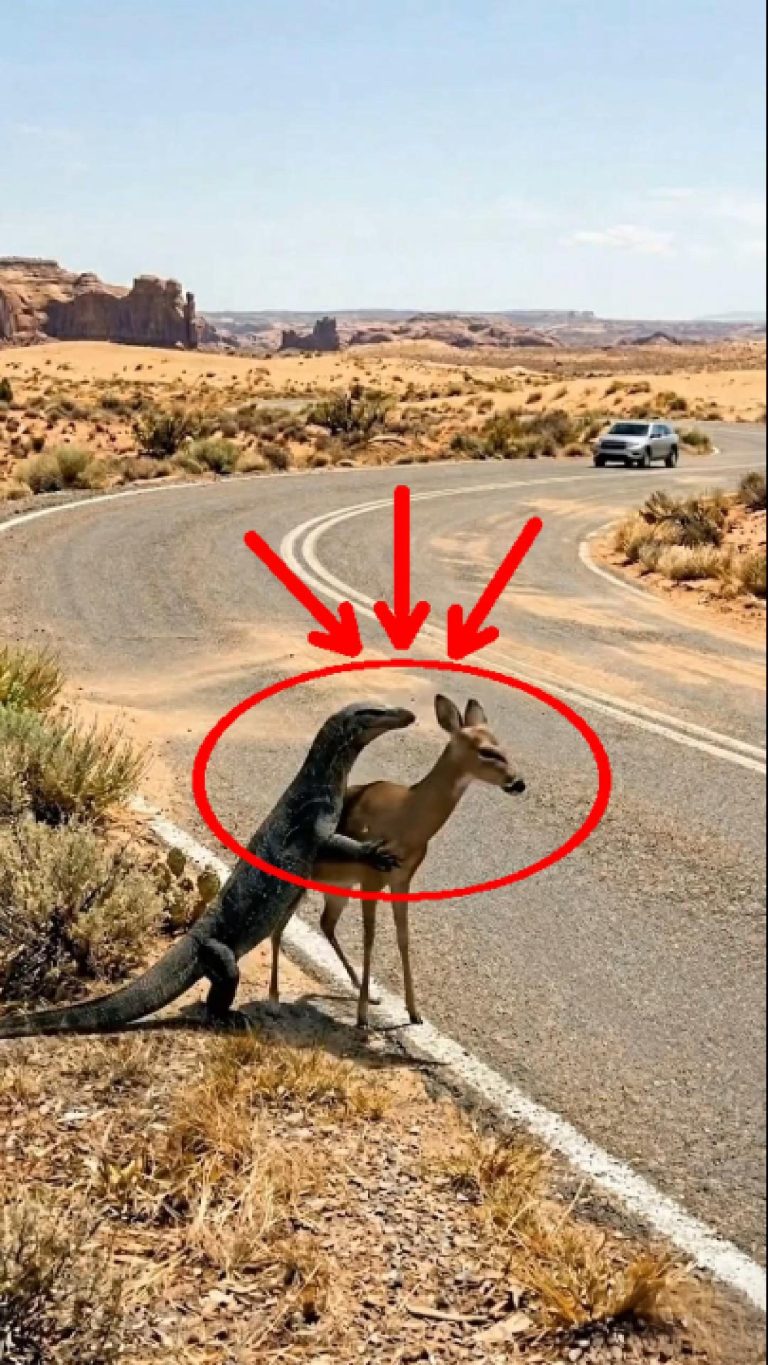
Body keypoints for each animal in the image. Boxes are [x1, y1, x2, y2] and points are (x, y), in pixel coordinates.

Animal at [269, 693, 526, 1028]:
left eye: (503, 745)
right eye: (486, 750)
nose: (518, 782)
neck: (407, 819)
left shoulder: (402, 877)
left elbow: (403, 937)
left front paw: (413, 1012)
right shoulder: (371, 876)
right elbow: (370, 937)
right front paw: (362, 1018)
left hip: (339, 883)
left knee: (326, 923)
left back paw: (361, 989)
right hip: (301, 880)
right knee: (279, 926)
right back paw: (275, 1001)